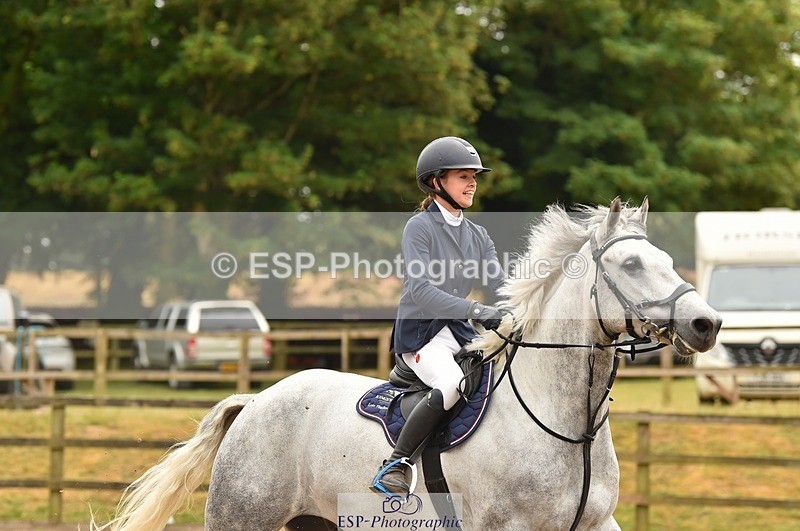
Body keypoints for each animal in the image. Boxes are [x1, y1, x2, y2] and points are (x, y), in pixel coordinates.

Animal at [94, 197, 721, 531]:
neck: (566, 425)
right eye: (633, 265)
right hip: (243, 517)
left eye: (667, 259)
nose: (706, 323)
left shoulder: (595, 523)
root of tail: (257, 401)